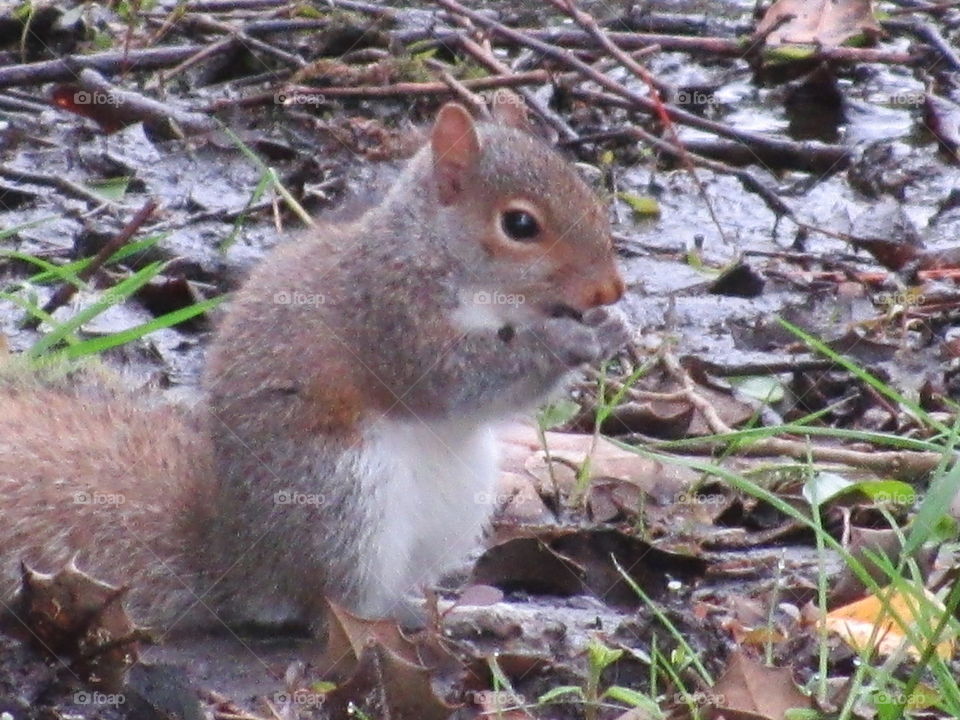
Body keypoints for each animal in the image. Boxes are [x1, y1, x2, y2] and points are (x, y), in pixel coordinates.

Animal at [0, 97, 628, 635]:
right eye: (520, 225)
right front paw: (569, 339)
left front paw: (612, 327)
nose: (611, 290)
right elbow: (452, 379)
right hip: (343, 498)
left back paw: (470, 612)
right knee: (335, 605)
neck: (437, 255)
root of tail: (241, 562)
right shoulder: (391, 318)